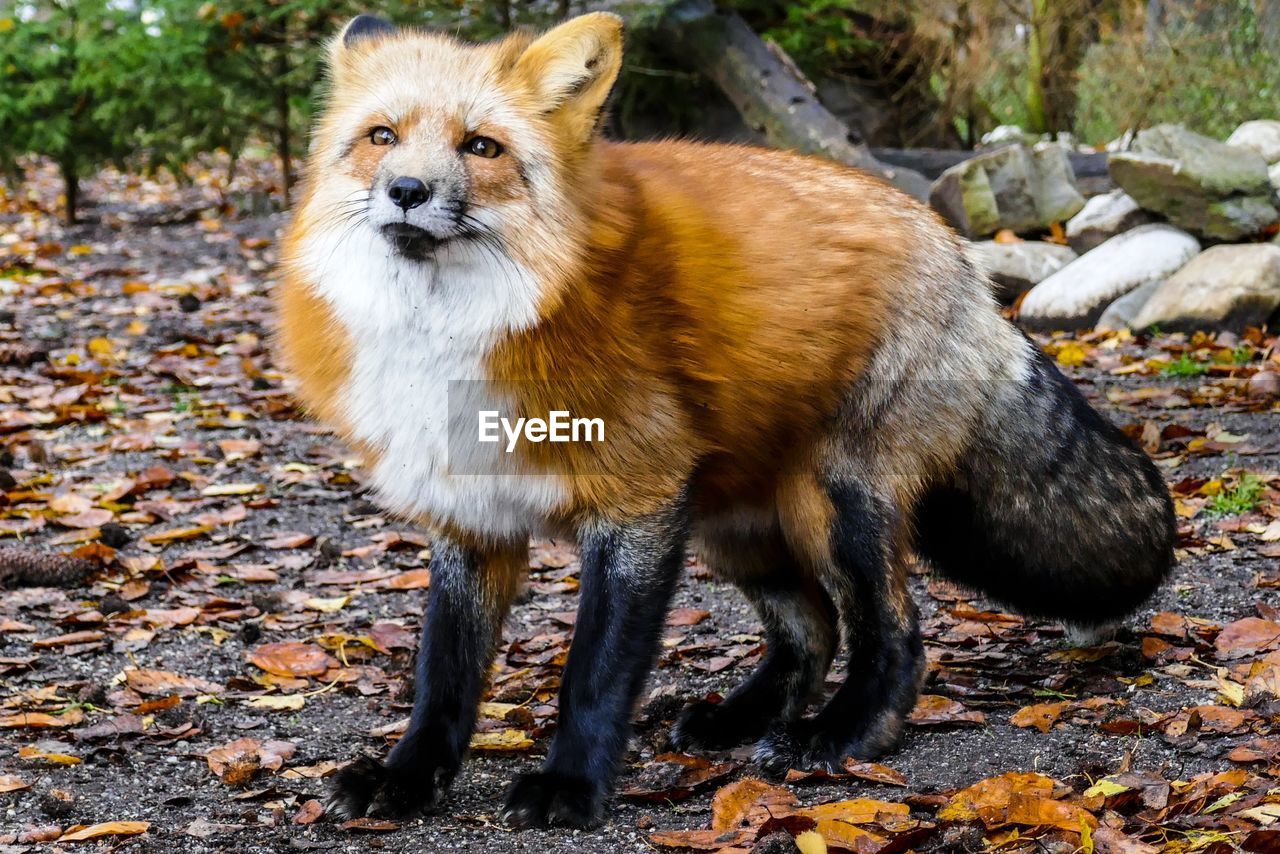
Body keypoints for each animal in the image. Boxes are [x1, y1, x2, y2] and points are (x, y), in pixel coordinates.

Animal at [275, 11, 1172, 829]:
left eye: (481, 147)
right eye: (382, 137)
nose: (408, 192)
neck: (457, 333)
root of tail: (964, 258)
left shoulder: (637, 505)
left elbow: (594, 671)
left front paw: (571, 785)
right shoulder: (470, 516)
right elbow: (443, 675)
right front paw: (407, 778)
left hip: (833, 502)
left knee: (895, 633)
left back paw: (839, 735)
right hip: (731, 526)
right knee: (811, 630)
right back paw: (741, 720)